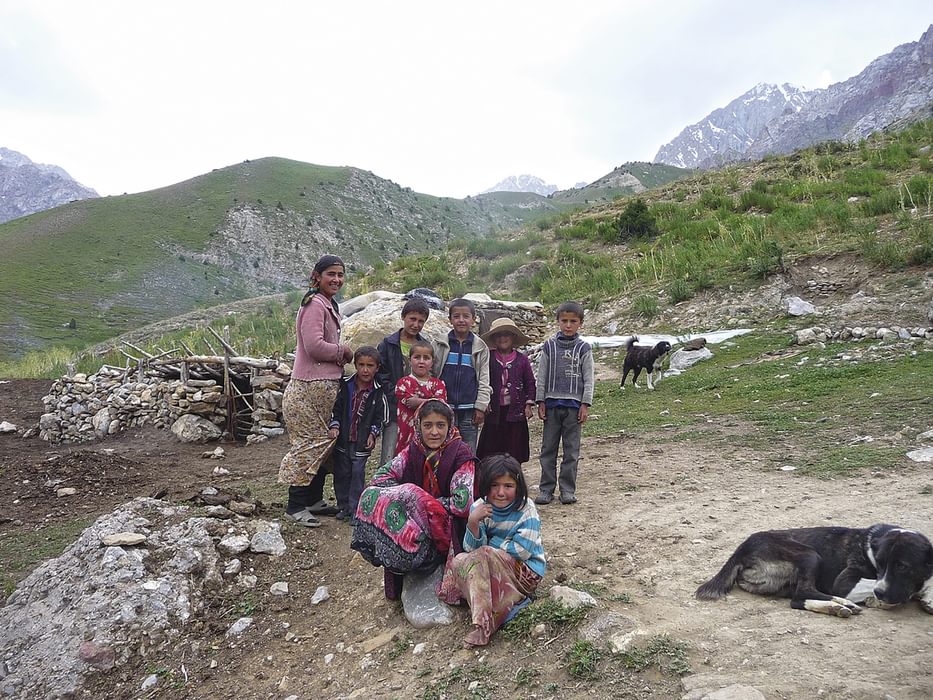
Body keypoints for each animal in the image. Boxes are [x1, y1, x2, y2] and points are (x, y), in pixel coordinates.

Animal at [692, 524, 932, 616]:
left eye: (902, 566)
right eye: (880, 564)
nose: (881, 594)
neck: (871, 546)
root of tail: (741, 548)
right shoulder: (845, 582)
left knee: (799, 599)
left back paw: (835, 607)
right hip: (810, 555)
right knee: (801, 595)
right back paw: (840, 604)